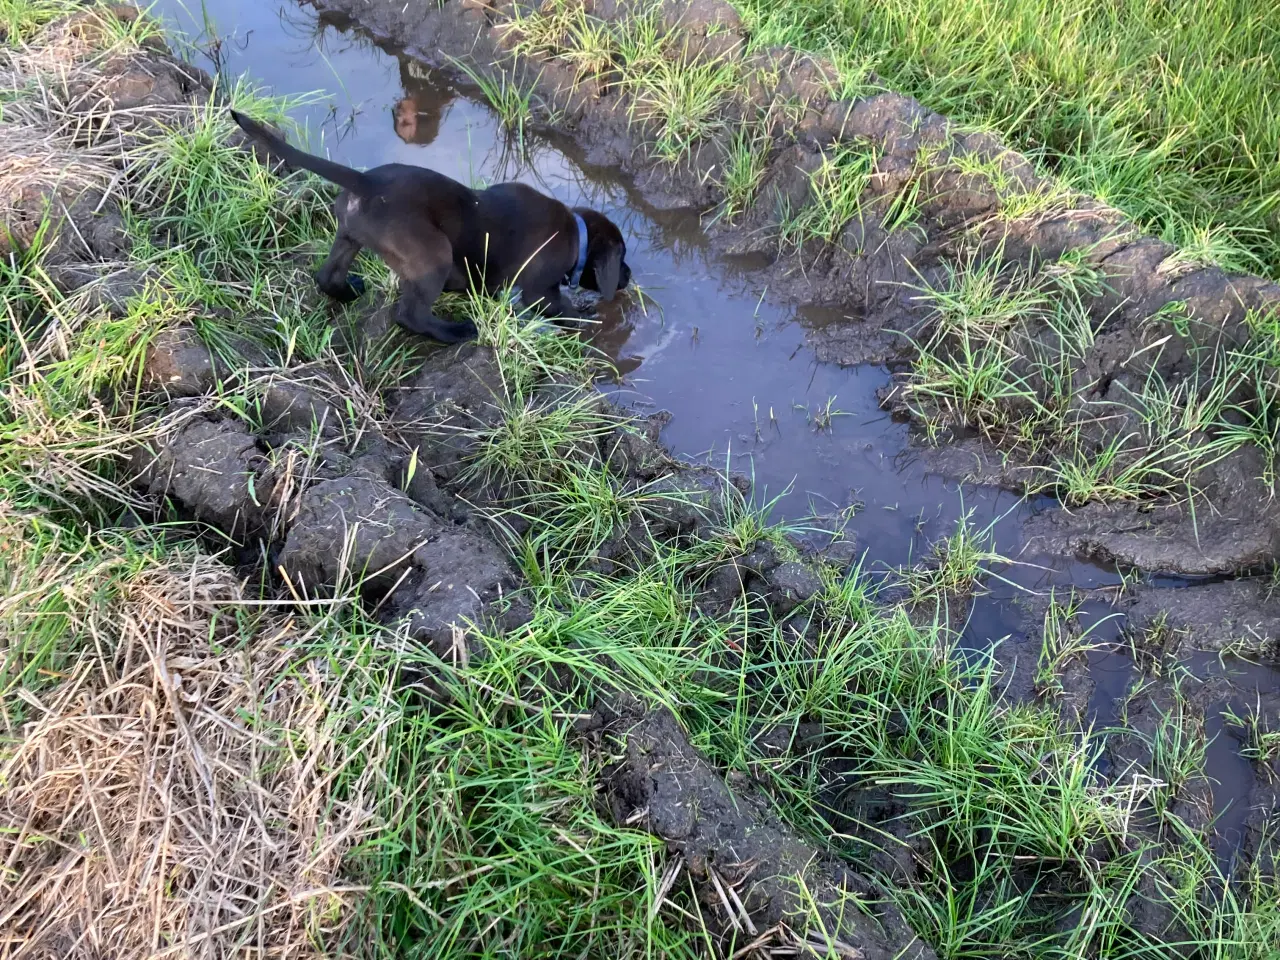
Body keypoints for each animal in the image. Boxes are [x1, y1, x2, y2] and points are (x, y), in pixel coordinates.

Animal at [232, 110, 632, 343]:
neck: (578, 234)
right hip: (432, 253)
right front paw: (587, 319)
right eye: (623, 257)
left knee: (328, 276)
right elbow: (562, 308)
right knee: (408, 314)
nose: (627, 276)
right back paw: (455, 332)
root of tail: (367, 183)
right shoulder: (539, 291)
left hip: (349, 234)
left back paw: (349, 290)